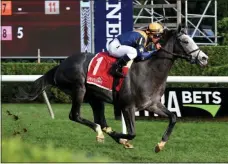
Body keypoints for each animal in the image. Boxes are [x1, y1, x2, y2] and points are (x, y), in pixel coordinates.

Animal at [16, 26, 208, 152]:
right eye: (185, 41)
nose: (204, 58)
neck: (149, 72)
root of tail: (60, 66)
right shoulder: (127, 106)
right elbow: (131, 133)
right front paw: (121, 137)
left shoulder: (151, 104)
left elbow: (173, 117)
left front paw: (160, 145)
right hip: (79, 89)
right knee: (75, 115)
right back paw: (100, 133)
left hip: (95, 97)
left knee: (100, 120)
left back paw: (109, 134)